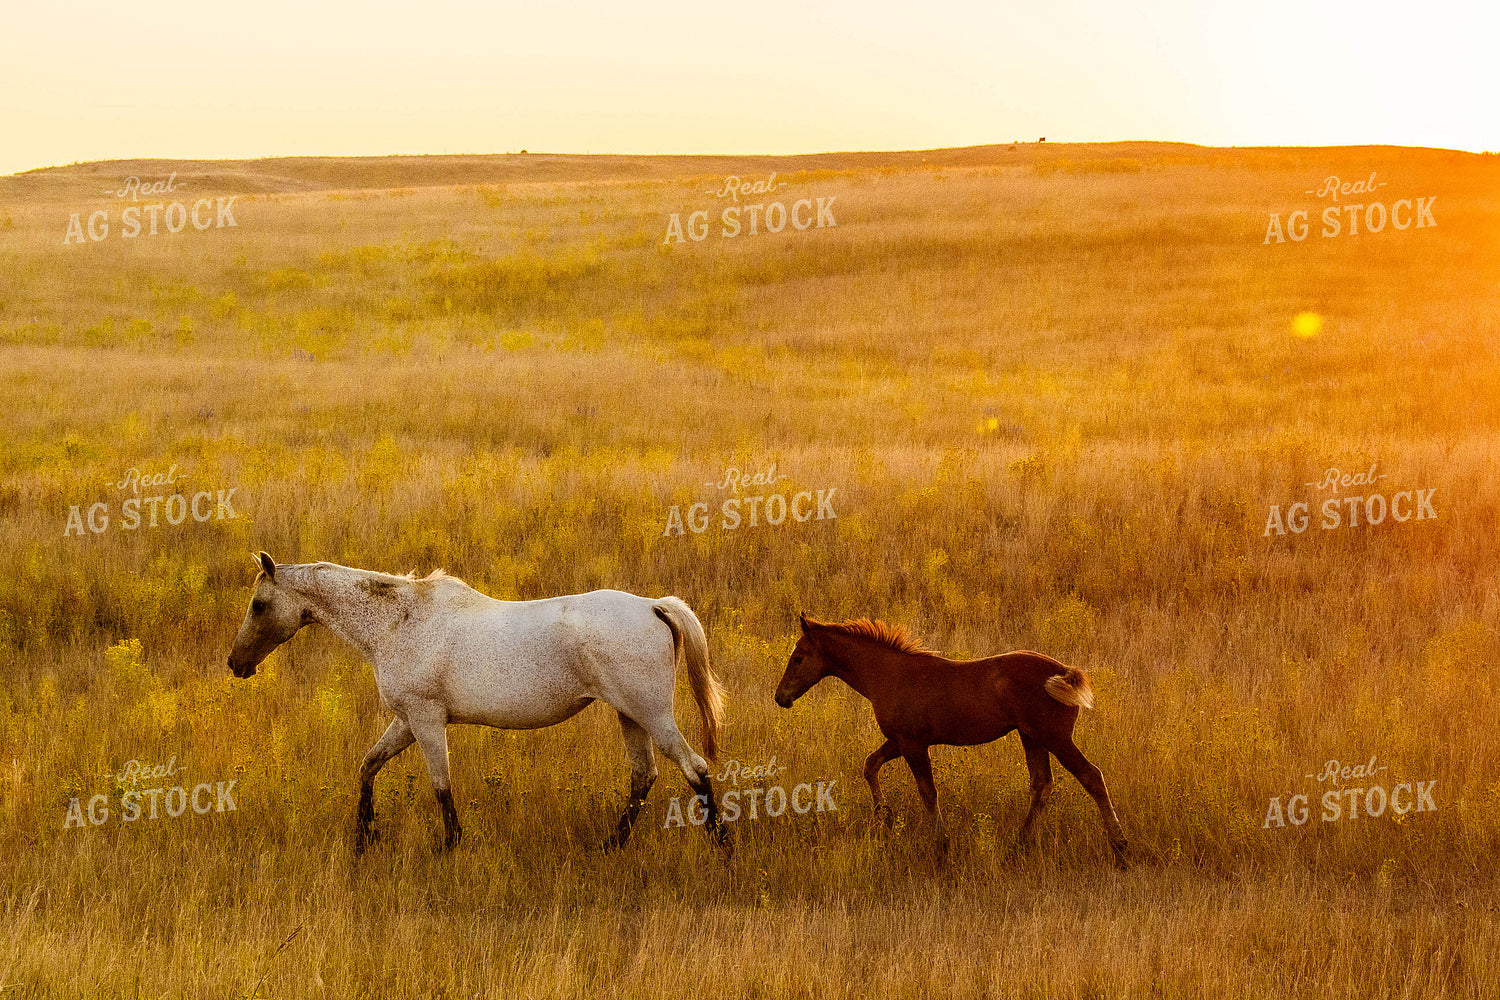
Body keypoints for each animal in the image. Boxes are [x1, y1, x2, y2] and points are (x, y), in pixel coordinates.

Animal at [226, 552, 728, 854]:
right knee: (643, 776)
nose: (235, 663)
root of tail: (653, 606)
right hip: (630, 716)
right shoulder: (406, 720)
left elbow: (441, 785)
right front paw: (364, 837)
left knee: (696, 769)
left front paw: (449, 845)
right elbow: (369, 765)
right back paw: (611, 845)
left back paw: (722, 846)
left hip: (652, 715)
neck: (397, 622)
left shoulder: (426, 718)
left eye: (258, 604)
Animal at [773, 613, 1127, 867]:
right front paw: (884, 818)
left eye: (798, 657)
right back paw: (1018, 846)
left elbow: (928, 793)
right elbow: (870, 765)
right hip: (1031, 737)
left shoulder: (913, 744)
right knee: (1041, 784)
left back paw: (1120, 848)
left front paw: (942, 847)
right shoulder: (899, 741)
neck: (888, 674)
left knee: (1091, 776)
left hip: (1054, 737)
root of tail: (1064, 671)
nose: (781, 697)